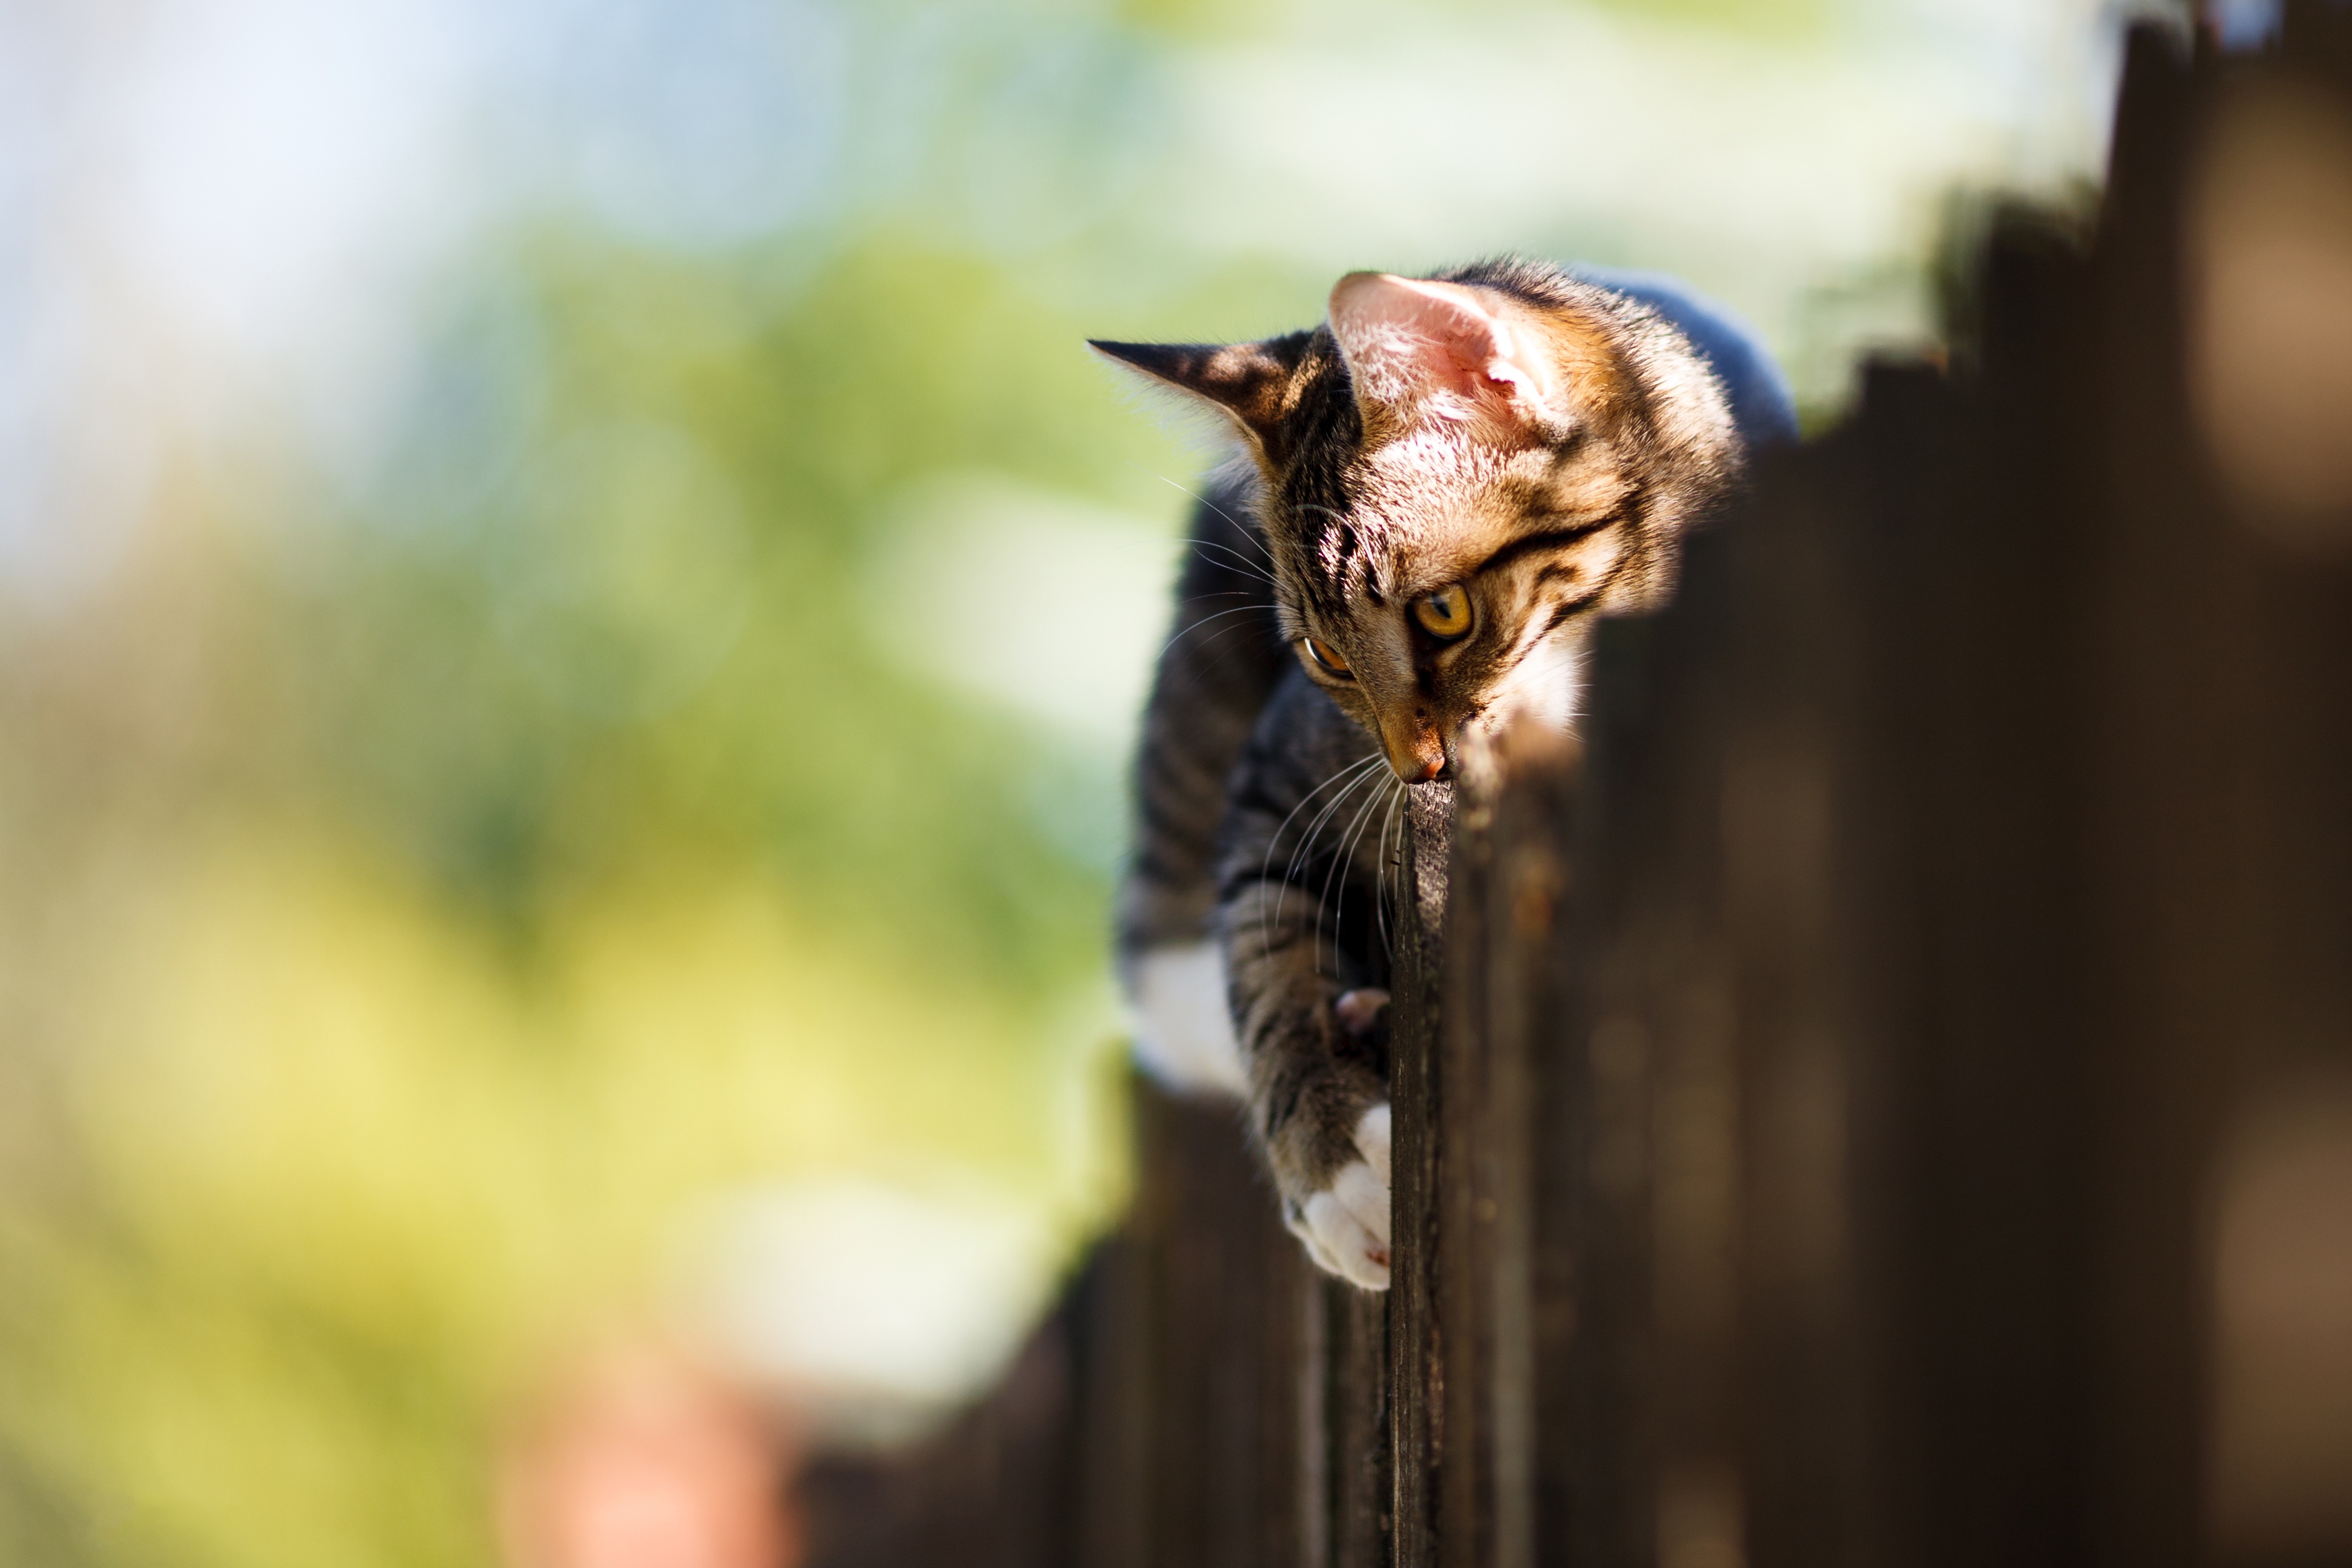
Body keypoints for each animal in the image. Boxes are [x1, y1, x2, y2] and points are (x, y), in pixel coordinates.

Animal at [1091, 257, 1787, 1288]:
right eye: (1324, 656)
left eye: (1443, 612)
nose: (1416, 764)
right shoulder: (1276, 775)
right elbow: (1257, 950)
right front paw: (1332, 1160)